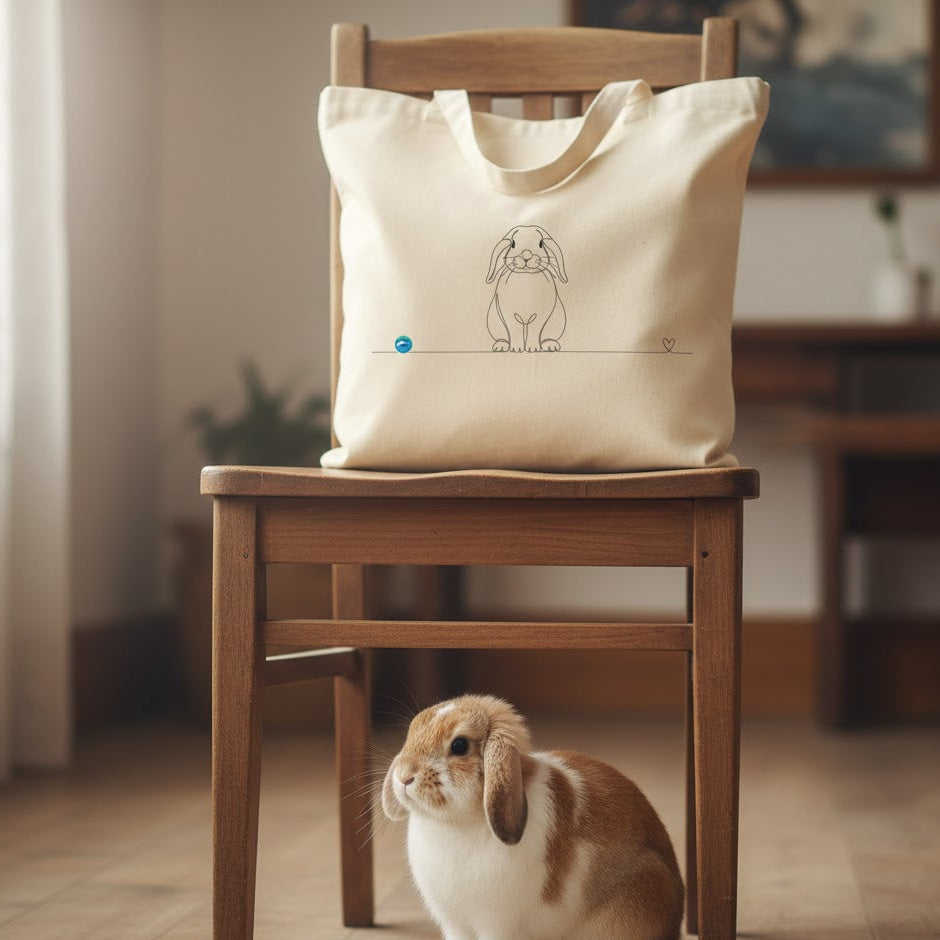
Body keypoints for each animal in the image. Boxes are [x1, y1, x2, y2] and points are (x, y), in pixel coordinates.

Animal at [382, 695, 684, 940]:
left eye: (459, 745)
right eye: (412, 731)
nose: (403, 776)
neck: (456, 822)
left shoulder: (497, 924)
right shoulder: (455, 923)